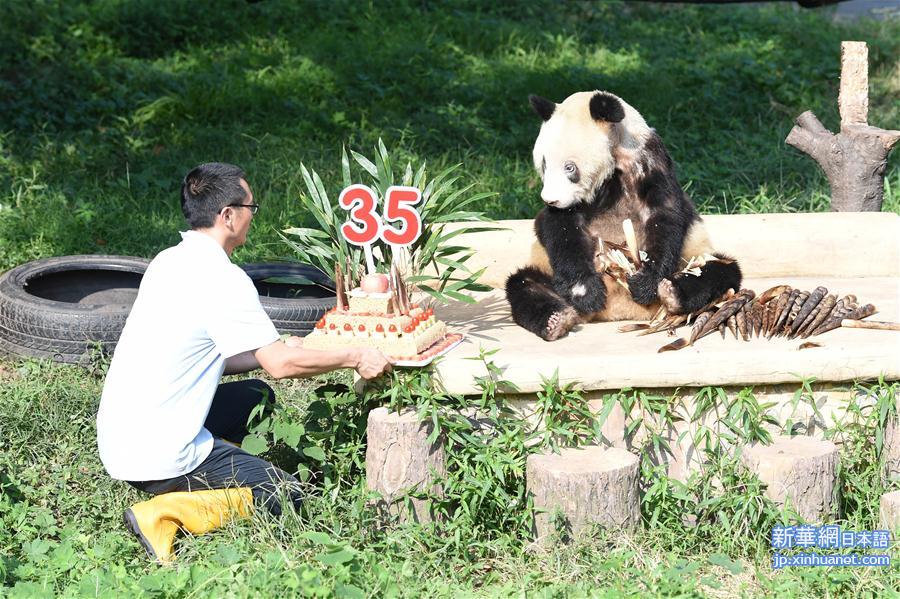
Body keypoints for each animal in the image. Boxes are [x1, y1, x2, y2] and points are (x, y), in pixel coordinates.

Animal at [502, 89, 740, 342]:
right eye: (544, 164)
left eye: (570, 167)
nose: (551, 200)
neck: (615, 159)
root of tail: (619, 310)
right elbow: (560, 229)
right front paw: (585, 292)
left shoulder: (651, 164)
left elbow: (665, 218)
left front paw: (645, 283)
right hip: (549, 274)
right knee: (523, 283)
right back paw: (557, 319)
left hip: (693, 257)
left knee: (720, 270)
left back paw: (672, 293)